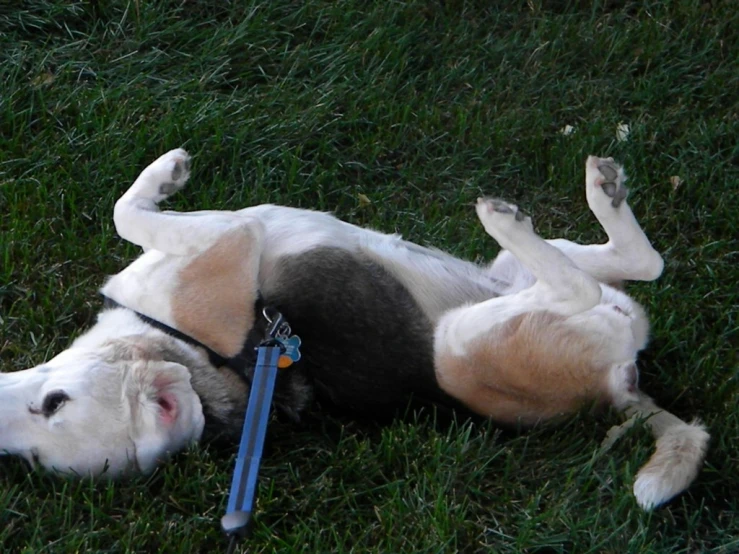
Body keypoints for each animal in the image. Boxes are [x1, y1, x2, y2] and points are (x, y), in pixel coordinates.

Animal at [0, 148, 708, 508]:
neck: (192, 351)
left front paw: (165, 173)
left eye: (52, 403)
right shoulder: (234, 236)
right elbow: (135, 214)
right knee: (598, 279)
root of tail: (619, 392)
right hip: (463, 344)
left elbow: (128, 209)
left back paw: (601, 189)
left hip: (507, 280)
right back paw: (516, 213)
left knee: (636, 262)